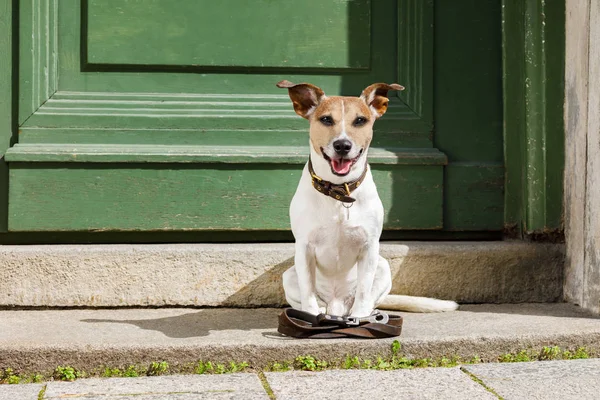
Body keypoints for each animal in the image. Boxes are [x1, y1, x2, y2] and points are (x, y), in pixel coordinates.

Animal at [276, 80, 460, 318]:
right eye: (326, 119)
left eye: (360, 120)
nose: (342, 145)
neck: (339, 192)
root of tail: (337, 306)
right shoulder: (304, 248)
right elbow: (308, 294)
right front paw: (311, 315)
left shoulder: (369, 248)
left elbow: (364, 293)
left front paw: (360, 318)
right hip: (289, 276)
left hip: (383, 267)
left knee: (368, 300)